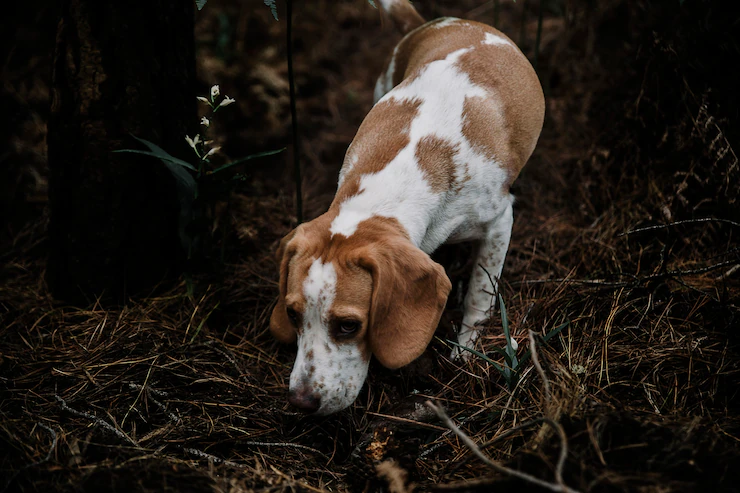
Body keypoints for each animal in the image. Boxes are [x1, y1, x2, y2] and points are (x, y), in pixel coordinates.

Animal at [270, 0, 544, 416]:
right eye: (292, 314)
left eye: (348, 325)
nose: (301, 402)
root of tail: (436, 22)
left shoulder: (499, 220)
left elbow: (480, 292)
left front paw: (466, 351)